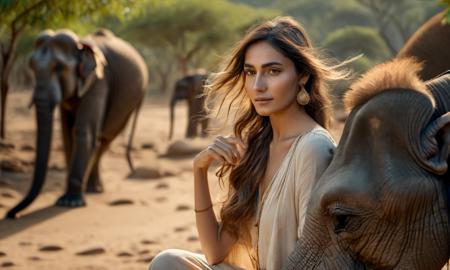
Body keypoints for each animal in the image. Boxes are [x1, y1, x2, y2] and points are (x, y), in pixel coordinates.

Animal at [6, 29, 149, 219]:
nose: (12, 215)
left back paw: (93, 189)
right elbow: (67, 134)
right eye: (32, 66)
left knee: (106, 136)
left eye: (58, 67)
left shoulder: (99, 81)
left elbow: (83, 131)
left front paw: (69, 203)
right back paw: (91, 189)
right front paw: (68, 198)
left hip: (130, 102)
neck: (80, 44)